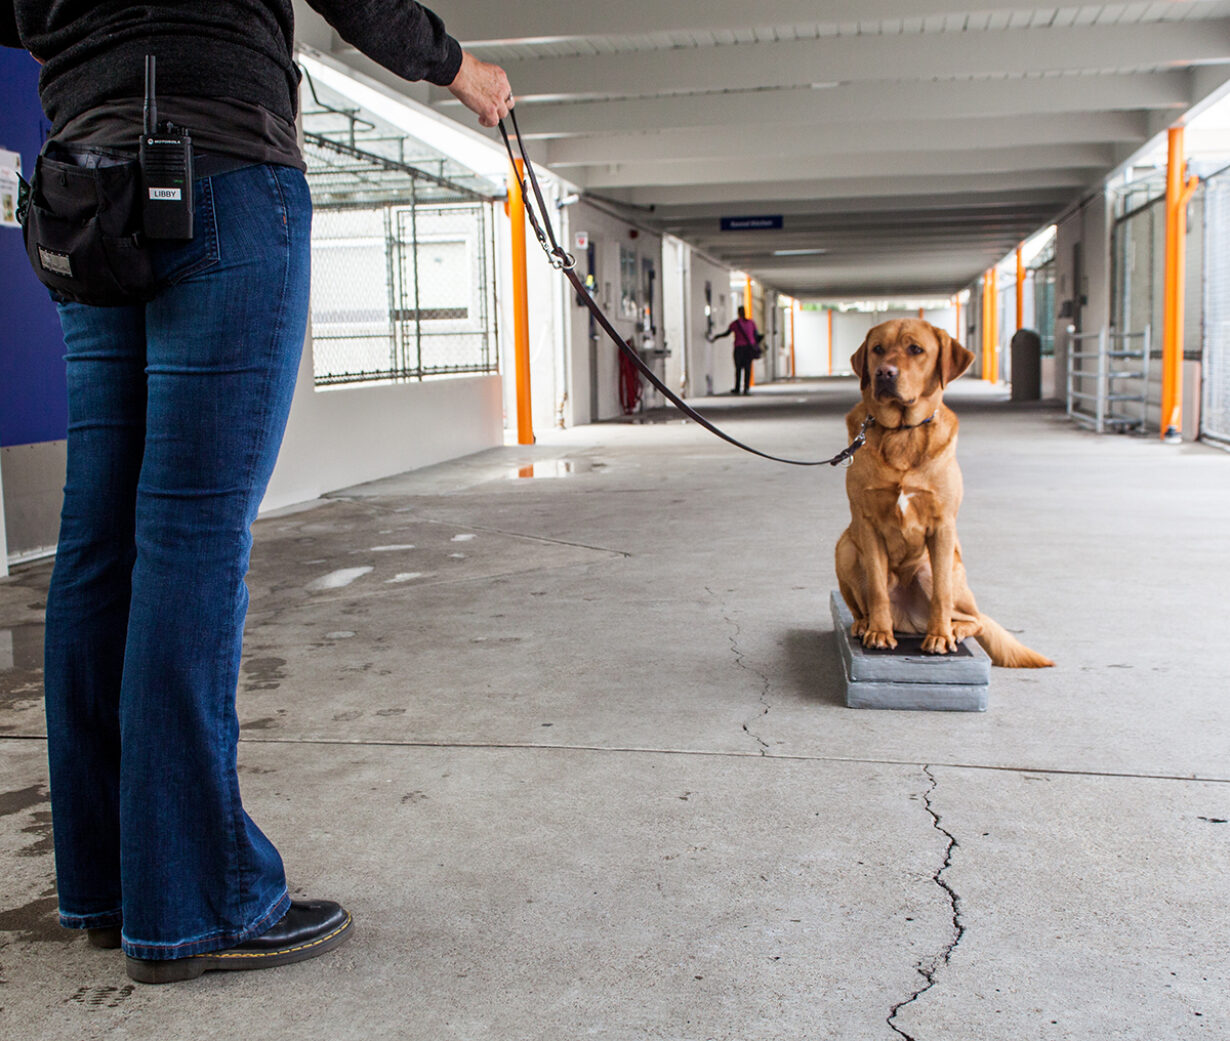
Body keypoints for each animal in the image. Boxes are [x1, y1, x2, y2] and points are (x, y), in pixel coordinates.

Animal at [841, 317, 1052, 669]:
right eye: (877, 349)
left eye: (916, 349)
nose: (884, 373)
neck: (902, 432)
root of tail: (907, 621)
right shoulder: (867, 523)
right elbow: (877, 589)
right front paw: (879, 633)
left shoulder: (942, 526)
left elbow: (941, 593)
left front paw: (939, 637)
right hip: (845, 548)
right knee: (866, 600)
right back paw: (865, 624)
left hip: (941, 572)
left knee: (973, 618)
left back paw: (952, 630)